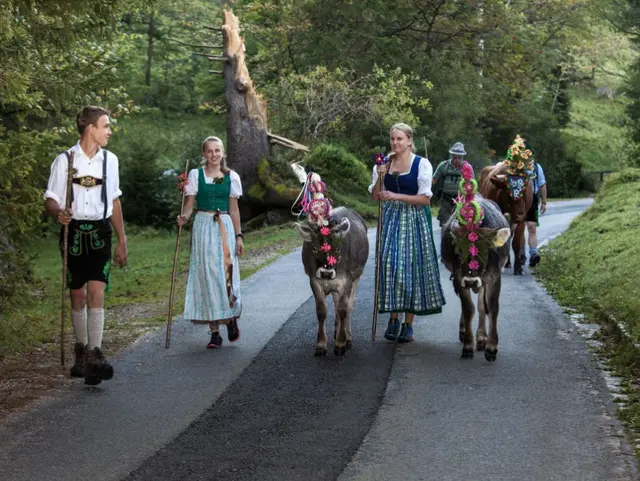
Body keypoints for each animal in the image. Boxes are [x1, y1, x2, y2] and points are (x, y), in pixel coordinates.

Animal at [294, 172, 368, 356]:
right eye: (313, 247)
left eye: (338, 247)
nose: (326, 273)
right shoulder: (314, 280)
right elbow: (322, 311)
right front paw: (321, 345)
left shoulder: (346, 280)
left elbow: (343, 309)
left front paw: (341, 344)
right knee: (336, 303)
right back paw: (336, 331)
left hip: (357, 276)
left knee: (348, 305)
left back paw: (347, 336)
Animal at [442, 161, 512, 360]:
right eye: (459, 252)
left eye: (486, 251)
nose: (471, 280)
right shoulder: (459, 276)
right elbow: (468, 309)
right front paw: (468, 344)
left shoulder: (494, 276)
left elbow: (492, 308)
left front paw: (491, 346)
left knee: (482, 306)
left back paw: (482, 338)